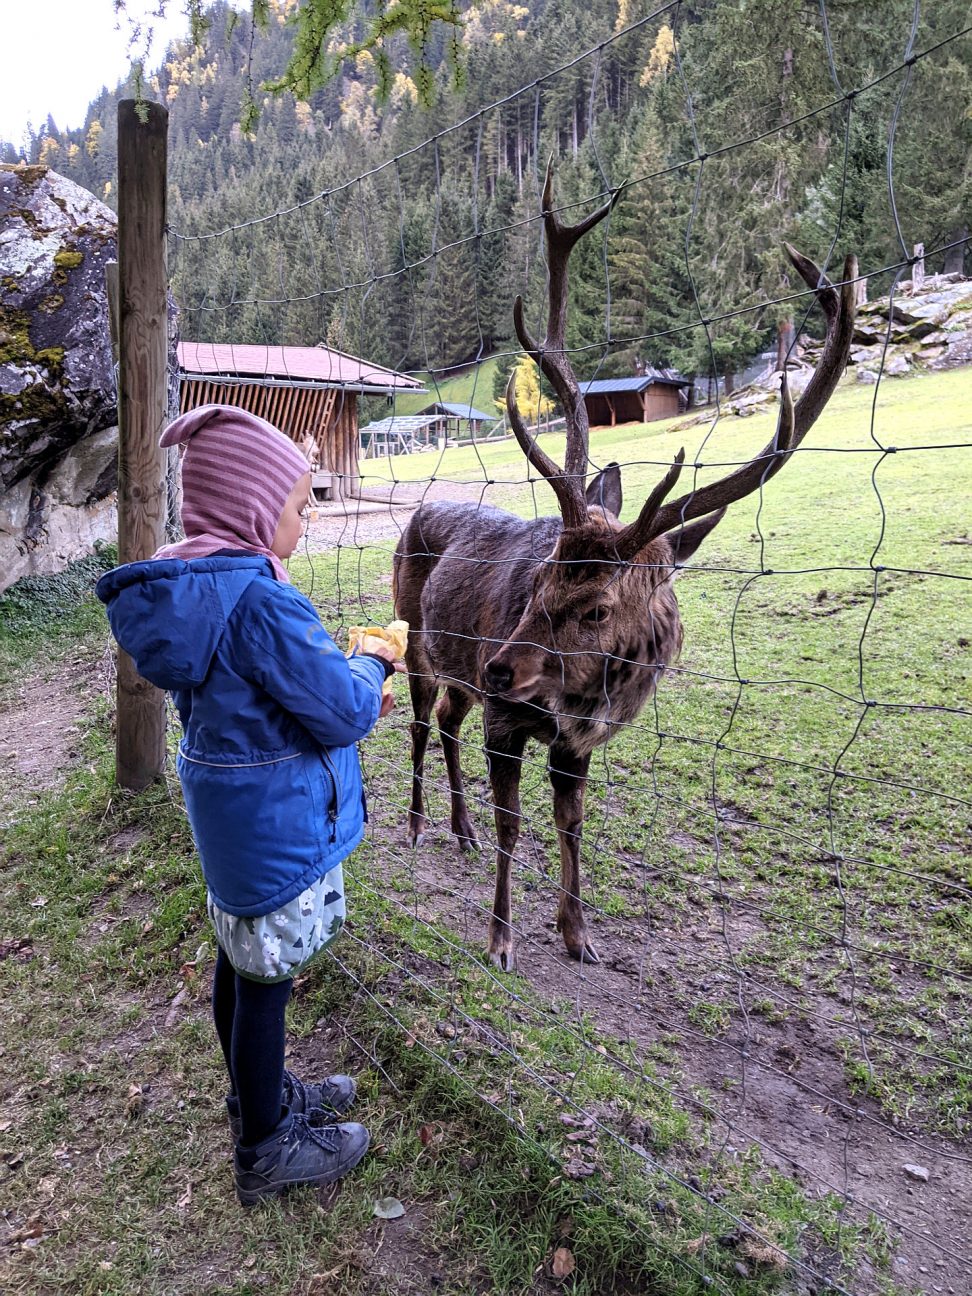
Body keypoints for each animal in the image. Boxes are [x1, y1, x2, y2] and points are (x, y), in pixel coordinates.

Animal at [391, 162, 855, 974]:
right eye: (541, 578)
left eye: (599, 607)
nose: (500, 665)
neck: (578, 700)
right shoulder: (509, 720)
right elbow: (517, 825)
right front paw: (501, 939)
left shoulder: (570, 744)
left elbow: (572, 825)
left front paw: (579, 935)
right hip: (416, 635)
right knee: (421, 722)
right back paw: (420, 825)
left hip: (456, 675)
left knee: (447, 719)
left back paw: (459, 828)